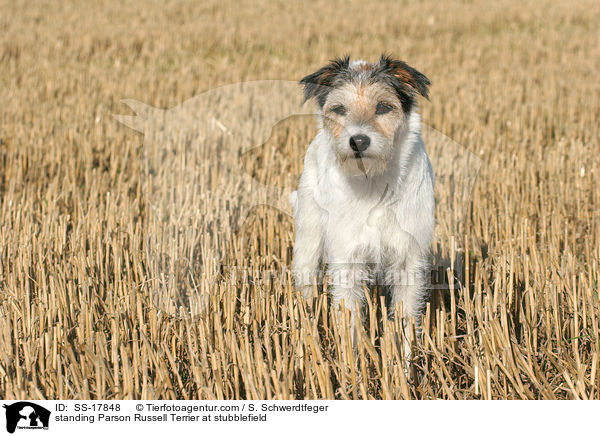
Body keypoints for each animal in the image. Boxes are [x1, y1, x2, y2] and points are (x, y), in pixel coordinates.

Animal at [290, 55, 434, 348]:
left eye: (383, 107)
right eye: (339, 109)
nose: (358, 140)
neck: (373, 182)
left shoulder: (408, 261)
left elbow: (405, 320)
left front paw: (406, 360)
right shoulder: (348, 259)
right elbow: (349, 319)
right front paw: (352, 359)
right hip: (308, 241)